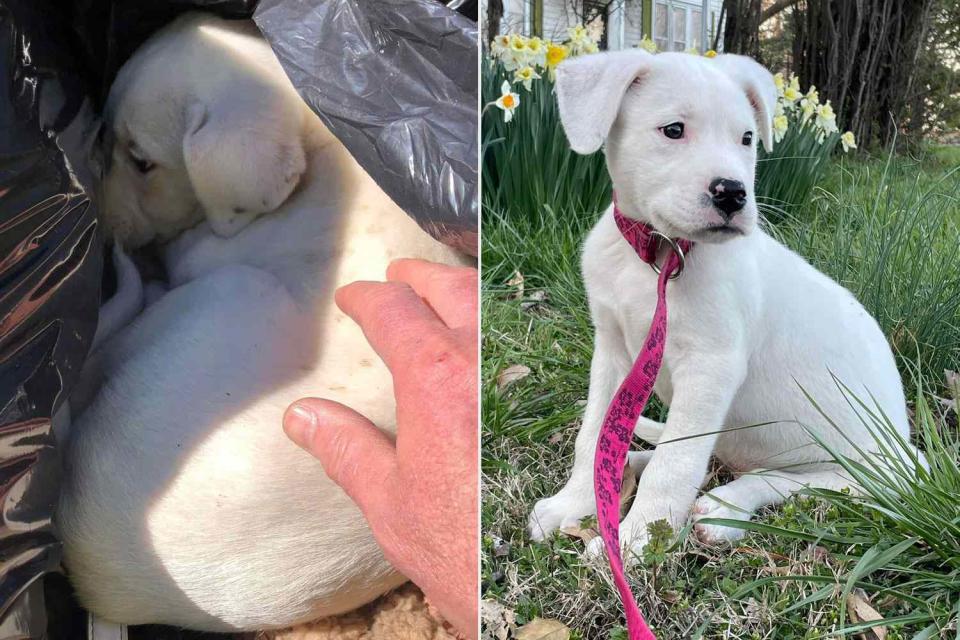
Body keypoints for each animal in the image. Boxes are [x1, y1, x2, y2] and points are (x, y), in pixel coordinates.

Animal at [528, 51, 912, 556]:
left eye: (746, 138)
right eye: (673, 130)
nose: (732, 193)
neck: (660, 257)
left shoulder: (711, 367)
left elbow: (676, 462)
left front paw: (638, 539)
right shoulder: (612, 353)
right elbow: (594, 437)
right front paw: (573, 503)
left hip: (868, 477)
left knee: (791, 481)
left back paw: (723, 510)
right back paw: (634, 463)